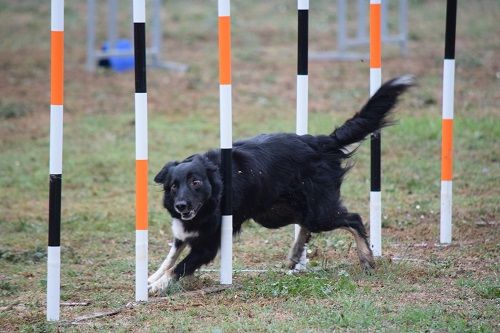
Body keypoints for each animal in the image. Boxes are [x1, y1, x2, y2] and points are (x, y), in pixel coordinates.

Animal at [148, 76, 414, 294]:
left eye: (195, 182)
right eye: (173, 186)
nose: (181, 206)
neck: (213, 195)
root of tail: (321, 142)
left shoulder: (207, 245)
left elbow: (179, 267)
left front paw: (158, 286)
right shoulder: (183, 234)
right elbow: (170, 258)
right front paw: (151, 278)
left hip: (317, 212)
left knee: (353, 219)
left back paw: (367, 258)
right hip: (275, 213)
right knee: (307, 225)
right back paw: (295, 254)